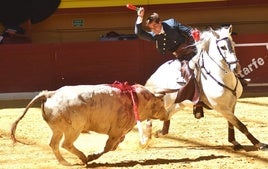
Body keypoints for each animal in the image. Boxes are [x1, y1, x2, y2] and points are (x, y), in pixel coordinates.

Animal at [11, 82, 169, 166]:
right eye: (161, 104)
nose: (166, 115)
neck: (137, 99)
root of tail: (50, 94)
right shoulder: (116, 131)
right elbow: (109, 147)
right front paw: (93, 156)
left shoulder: (120, 132)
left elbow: (114, 146)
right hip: (74, 129)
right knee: (65, 144)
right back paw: (83, 157)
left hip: (58, 129)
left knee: (54, 144)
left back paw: (65, 162)